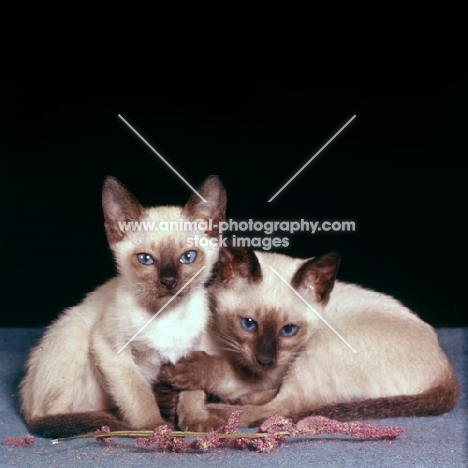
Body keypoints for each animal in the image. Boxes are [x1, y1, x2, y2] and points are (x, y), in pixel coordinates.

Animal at [19, 174, 228, 436]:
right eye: (145, 259)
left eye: (188, 257)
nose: (169, 282)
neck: (166, 315)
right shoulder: (111, 349)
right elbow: (138, 394)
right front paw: (155, 428)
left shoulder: (193, 350)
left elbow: (193, 390)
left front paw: (197, 421)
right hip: (74, 334)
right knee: (53, 416)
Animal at [159, 247, 458, 430]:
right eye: (249, 324)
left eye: (289, 330)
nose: (264, 359)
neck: (222, 343)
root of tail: (447, 371)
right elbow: (190, 389)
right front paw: (183, 405)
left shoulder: (269, 371)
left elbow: (222, 372)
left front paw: (195, 411)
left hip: (318, 348)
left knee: (283, 407)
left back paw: (217, 411)